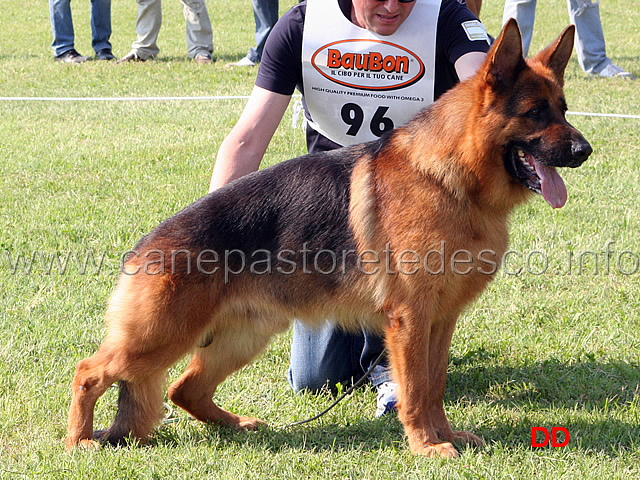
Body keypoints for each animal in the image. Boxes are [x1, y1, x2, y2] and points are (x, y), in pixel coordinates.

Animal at [65, 20, 592, 460]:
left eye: (563, 110)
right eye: (535, 113)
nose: (585, 150)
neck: (452, 178)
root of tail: (147, 244)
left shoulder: (440, 321)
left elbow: (435, 385)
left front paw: (445, 435)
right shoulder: (410, 320)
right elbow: (416, 390)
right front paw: (425, 445)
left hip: (242, 337)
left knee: (182, 390)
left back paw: (236, 425)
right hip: (160, 337)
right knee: (90, 371)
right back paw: (79, 441)